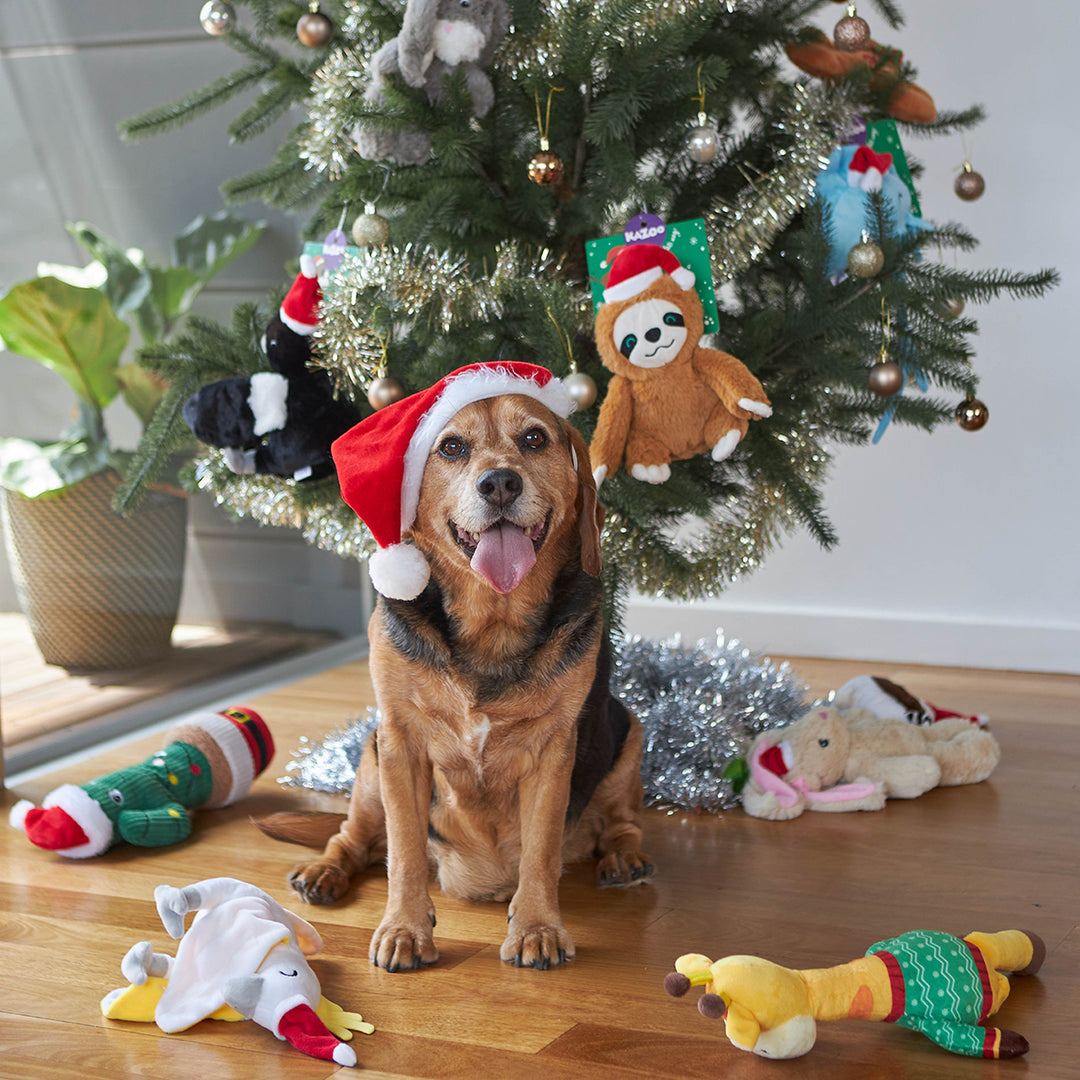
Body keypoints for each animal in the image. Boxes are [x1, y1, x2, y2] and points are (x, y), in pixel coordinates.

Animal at [257, 371, 652, 972]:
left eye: (535, 439)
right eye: (451, 448)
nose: (500, 483)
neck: (492, 619)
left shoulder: (553, 751)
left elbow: (540, 852)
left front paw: (537, 927)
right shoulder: (400, 743)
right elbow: (404, 854)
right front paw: (404, 928)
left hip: (628, 731)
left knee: (624, 821)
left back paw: (624, 858)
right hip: (370, 758)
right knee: (357, 837)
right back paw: (325, 870)